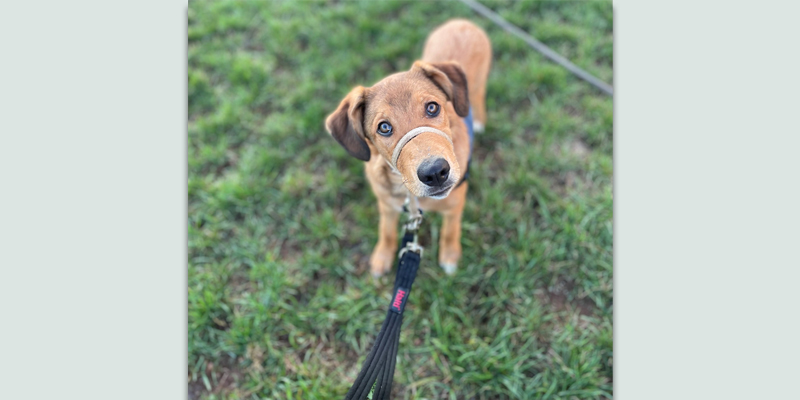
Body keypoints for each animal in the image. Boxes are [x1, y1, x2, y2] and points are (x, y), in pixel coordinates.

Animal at [324, 19, 488, 278]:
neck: (410, 195)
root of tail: (460, 22)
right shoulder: (386, 205)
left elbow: (450, 231)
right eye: (384, 127)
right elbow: (387, 232)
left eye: (432, 107)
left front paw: (450, 256)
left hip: (480, 83)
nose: (435, 173)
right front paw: (382, 258)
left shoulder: (455, 205)